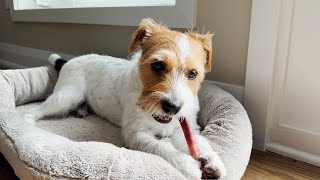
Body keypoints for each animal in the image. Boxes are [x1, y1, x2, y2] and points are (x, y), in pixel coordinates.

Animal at [23, 18, 226, 179]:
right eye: (157, 65)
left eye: (193, 74)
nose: (172, 107)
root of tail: (69, 61)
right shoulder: (135, 134)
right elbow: (161, 148)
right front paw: (188, 165)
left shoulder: (184, 127)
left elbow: (200, 142)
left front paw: (213, 160)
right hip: (66, 97)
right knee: (34, 110)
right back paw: (27, 126)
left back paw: (82, 110)